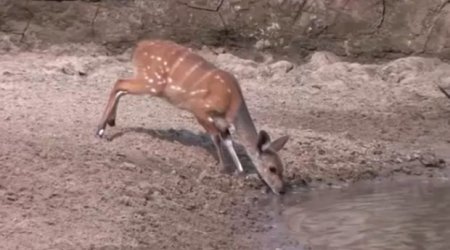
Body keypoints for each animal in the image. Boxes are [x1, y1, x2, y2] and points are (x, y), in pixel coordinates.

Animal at [96, 39, 290, 195]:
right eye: (272, 168)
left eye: (282, 168)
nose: (281, 190)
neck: (232, 104)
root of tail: (138, 47)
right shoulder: (200, 109)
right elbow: (216, 138)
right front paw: (223, 168)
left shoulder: (222, 123)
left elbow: (228, 141)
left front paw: (240, 171)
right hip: (153, 82)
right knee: (119, 82)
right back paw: (99, 130)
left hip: (149, 81)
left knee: (121, 88)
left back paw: (110, 122)